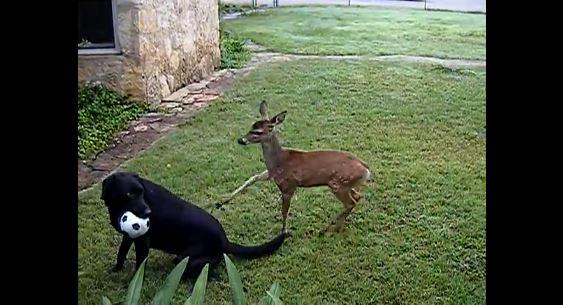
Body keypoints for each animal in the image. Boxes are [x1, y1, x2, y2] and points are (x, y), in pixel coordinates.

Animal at [101, 171, 286, 278]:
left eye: (141, 192)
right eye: (129, 194)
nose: (148, 213)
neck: (117, 207)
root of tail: (224, 241)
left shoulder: (142, 241)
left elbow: (139, 264)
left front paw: (134, 284)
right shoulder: (128, 236)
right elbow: (121, 253)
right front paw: (116, 270)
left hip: (187, 258)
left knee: (206, 268)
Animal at [223, 101, 372, 232]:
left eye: (258, 132)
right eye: (251, 127)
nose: (241, 140)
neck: (279, 161)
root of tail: (366, 169)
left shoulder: (288, 186)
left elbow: (284, 211)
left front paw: (284, 231)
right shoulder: (271, 174)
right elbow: (253, 178)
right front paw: (225, 199)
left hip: (337, 184)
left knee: (350, 202)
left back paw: (328, 228)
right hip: (346, 185)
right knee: (357, 197)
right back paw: (335, 226)